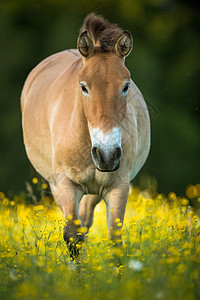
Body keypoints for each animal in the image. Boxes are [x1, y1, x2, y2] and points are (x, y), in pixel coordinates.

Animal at [21, 14, 151, 252]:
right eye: (83, 87)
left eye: (125, 86)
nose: (107, 155)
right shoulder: (66, 185)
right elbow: (73, 235)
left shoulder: (118, 186)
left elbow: (115, 239)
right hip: (57, 187)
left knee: (87, 221)